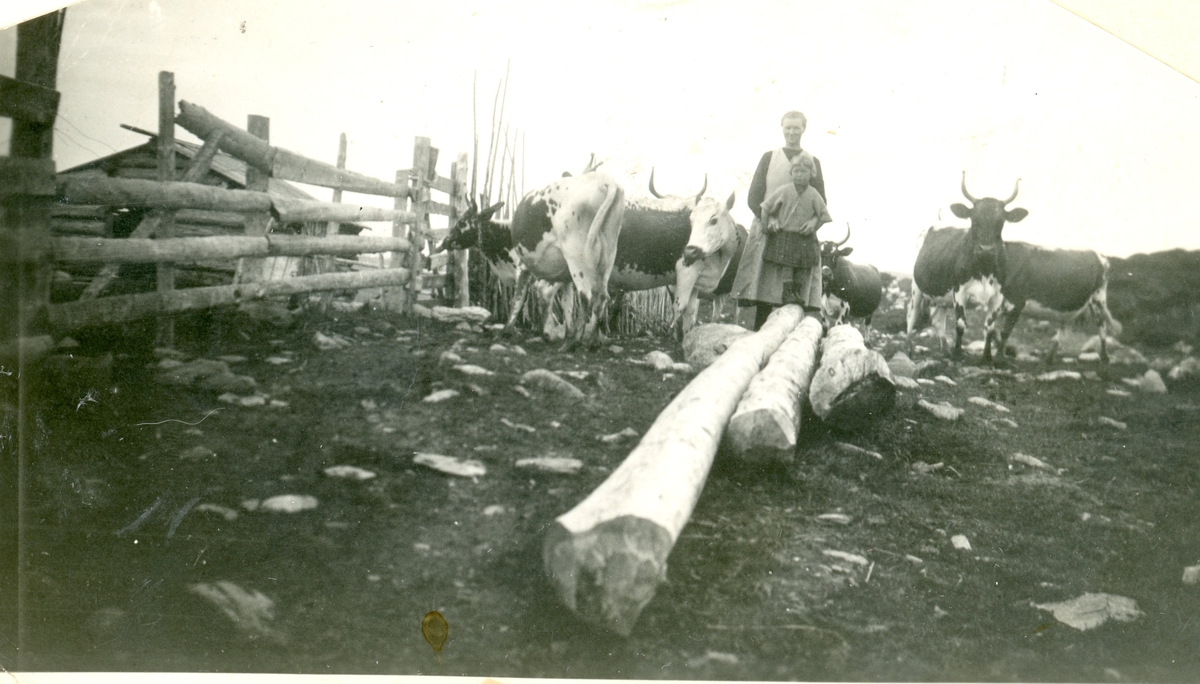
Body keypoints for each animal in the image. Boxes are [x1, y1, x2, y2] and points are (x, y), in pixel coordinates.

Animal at [902, 170, 1027, 360]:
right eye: (973, 220)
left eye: (1001, 222)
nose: (986, 249)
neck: (984, 270)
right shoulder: (959, 292)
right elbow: (961, 325)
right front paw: (957, 354)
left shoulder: (997, 296)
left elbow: (990, 328)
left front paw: (986, 358)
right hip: (917, 287)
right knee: (912, 314)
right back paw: (910, 348)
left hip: (942, 297)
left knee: (937, 320)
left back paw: (945, 349)